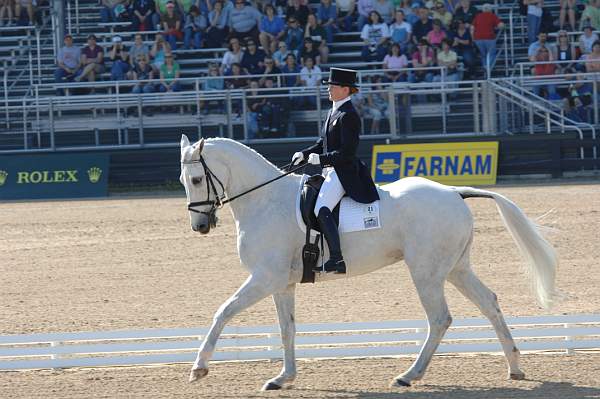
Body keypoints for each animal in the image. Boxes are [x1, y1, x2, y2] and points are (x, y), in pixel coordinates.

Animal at [178, 136, 556, 390]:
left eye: (196, 179)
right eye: (184, 181)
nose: (199, 226)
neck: (264, 200)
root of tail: (453, 192)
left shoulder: (263, 278)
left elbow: (223, 312)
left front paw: (199, 368)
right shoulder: (281, 283)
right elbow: (287, 329)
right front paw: (283, 378)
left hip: (427, 271)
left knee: (439, 318)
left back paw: (408, 376)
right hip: (455, 268)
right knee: (489, 303)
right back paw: (515, 367)